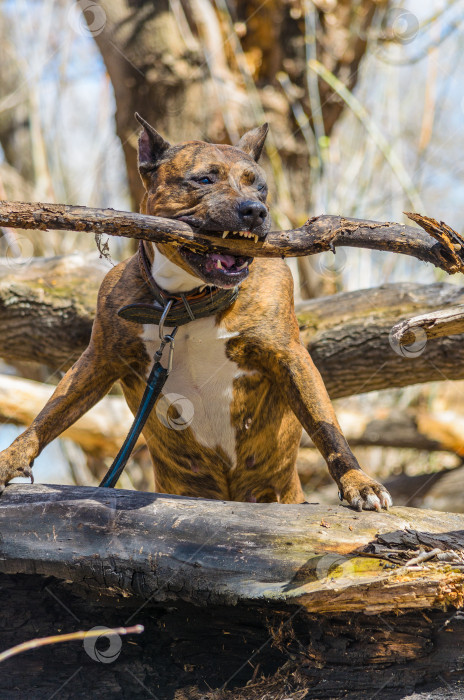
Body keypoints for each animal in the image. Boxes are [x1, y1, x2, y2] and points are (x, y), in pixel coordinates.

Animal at [0, 113, 392, 508]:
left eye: (260, 188)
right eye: (204, 180)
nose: (255, 211)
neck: (186, 301)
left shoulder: (289, 356)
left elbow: (326, 426)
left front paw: (358, 481)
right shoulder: (99, 359)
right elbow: (50, 414)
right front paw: (10, 458)